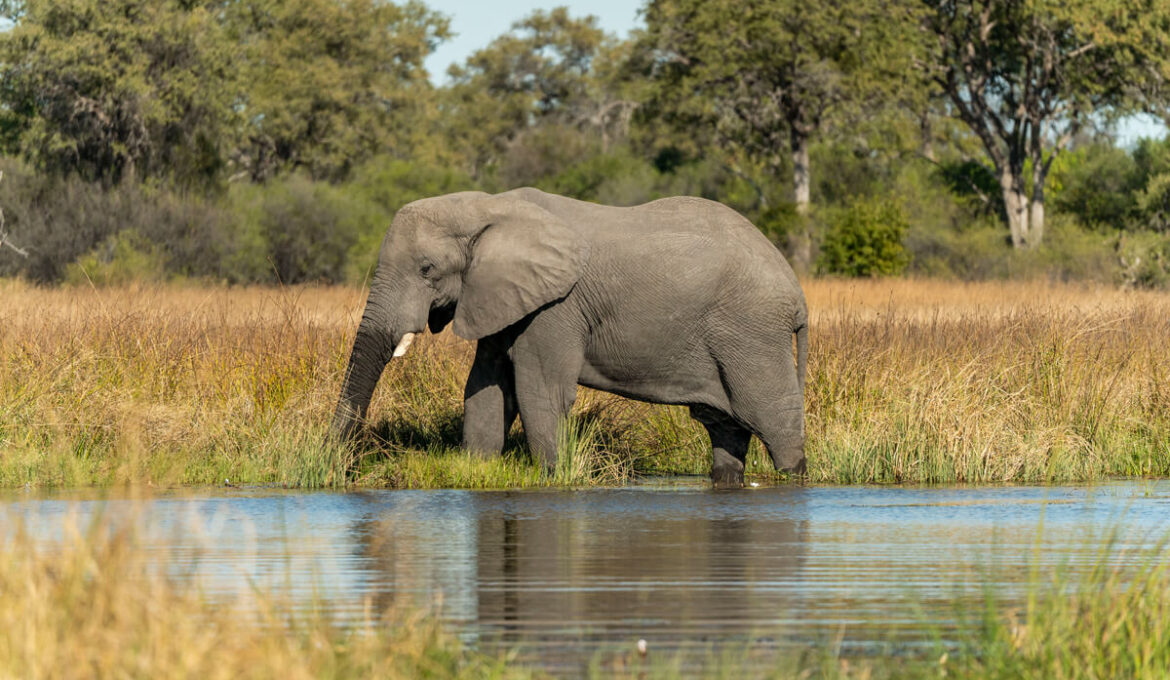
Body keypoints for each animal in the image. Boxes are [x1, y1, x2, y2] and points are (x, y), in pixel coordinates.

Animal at [331, 187, 808, 486]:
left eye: (426, 269)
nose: (341, 466)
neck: (486, 208)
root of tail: (796, 292)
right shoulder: (502, 296)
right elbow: (486, 390)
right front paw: (477, 471)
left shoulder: (556, 307)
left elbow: (539, 392)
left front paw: (554, 478)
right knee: (725, 428)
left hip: (752, 333)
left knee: (772, 418)